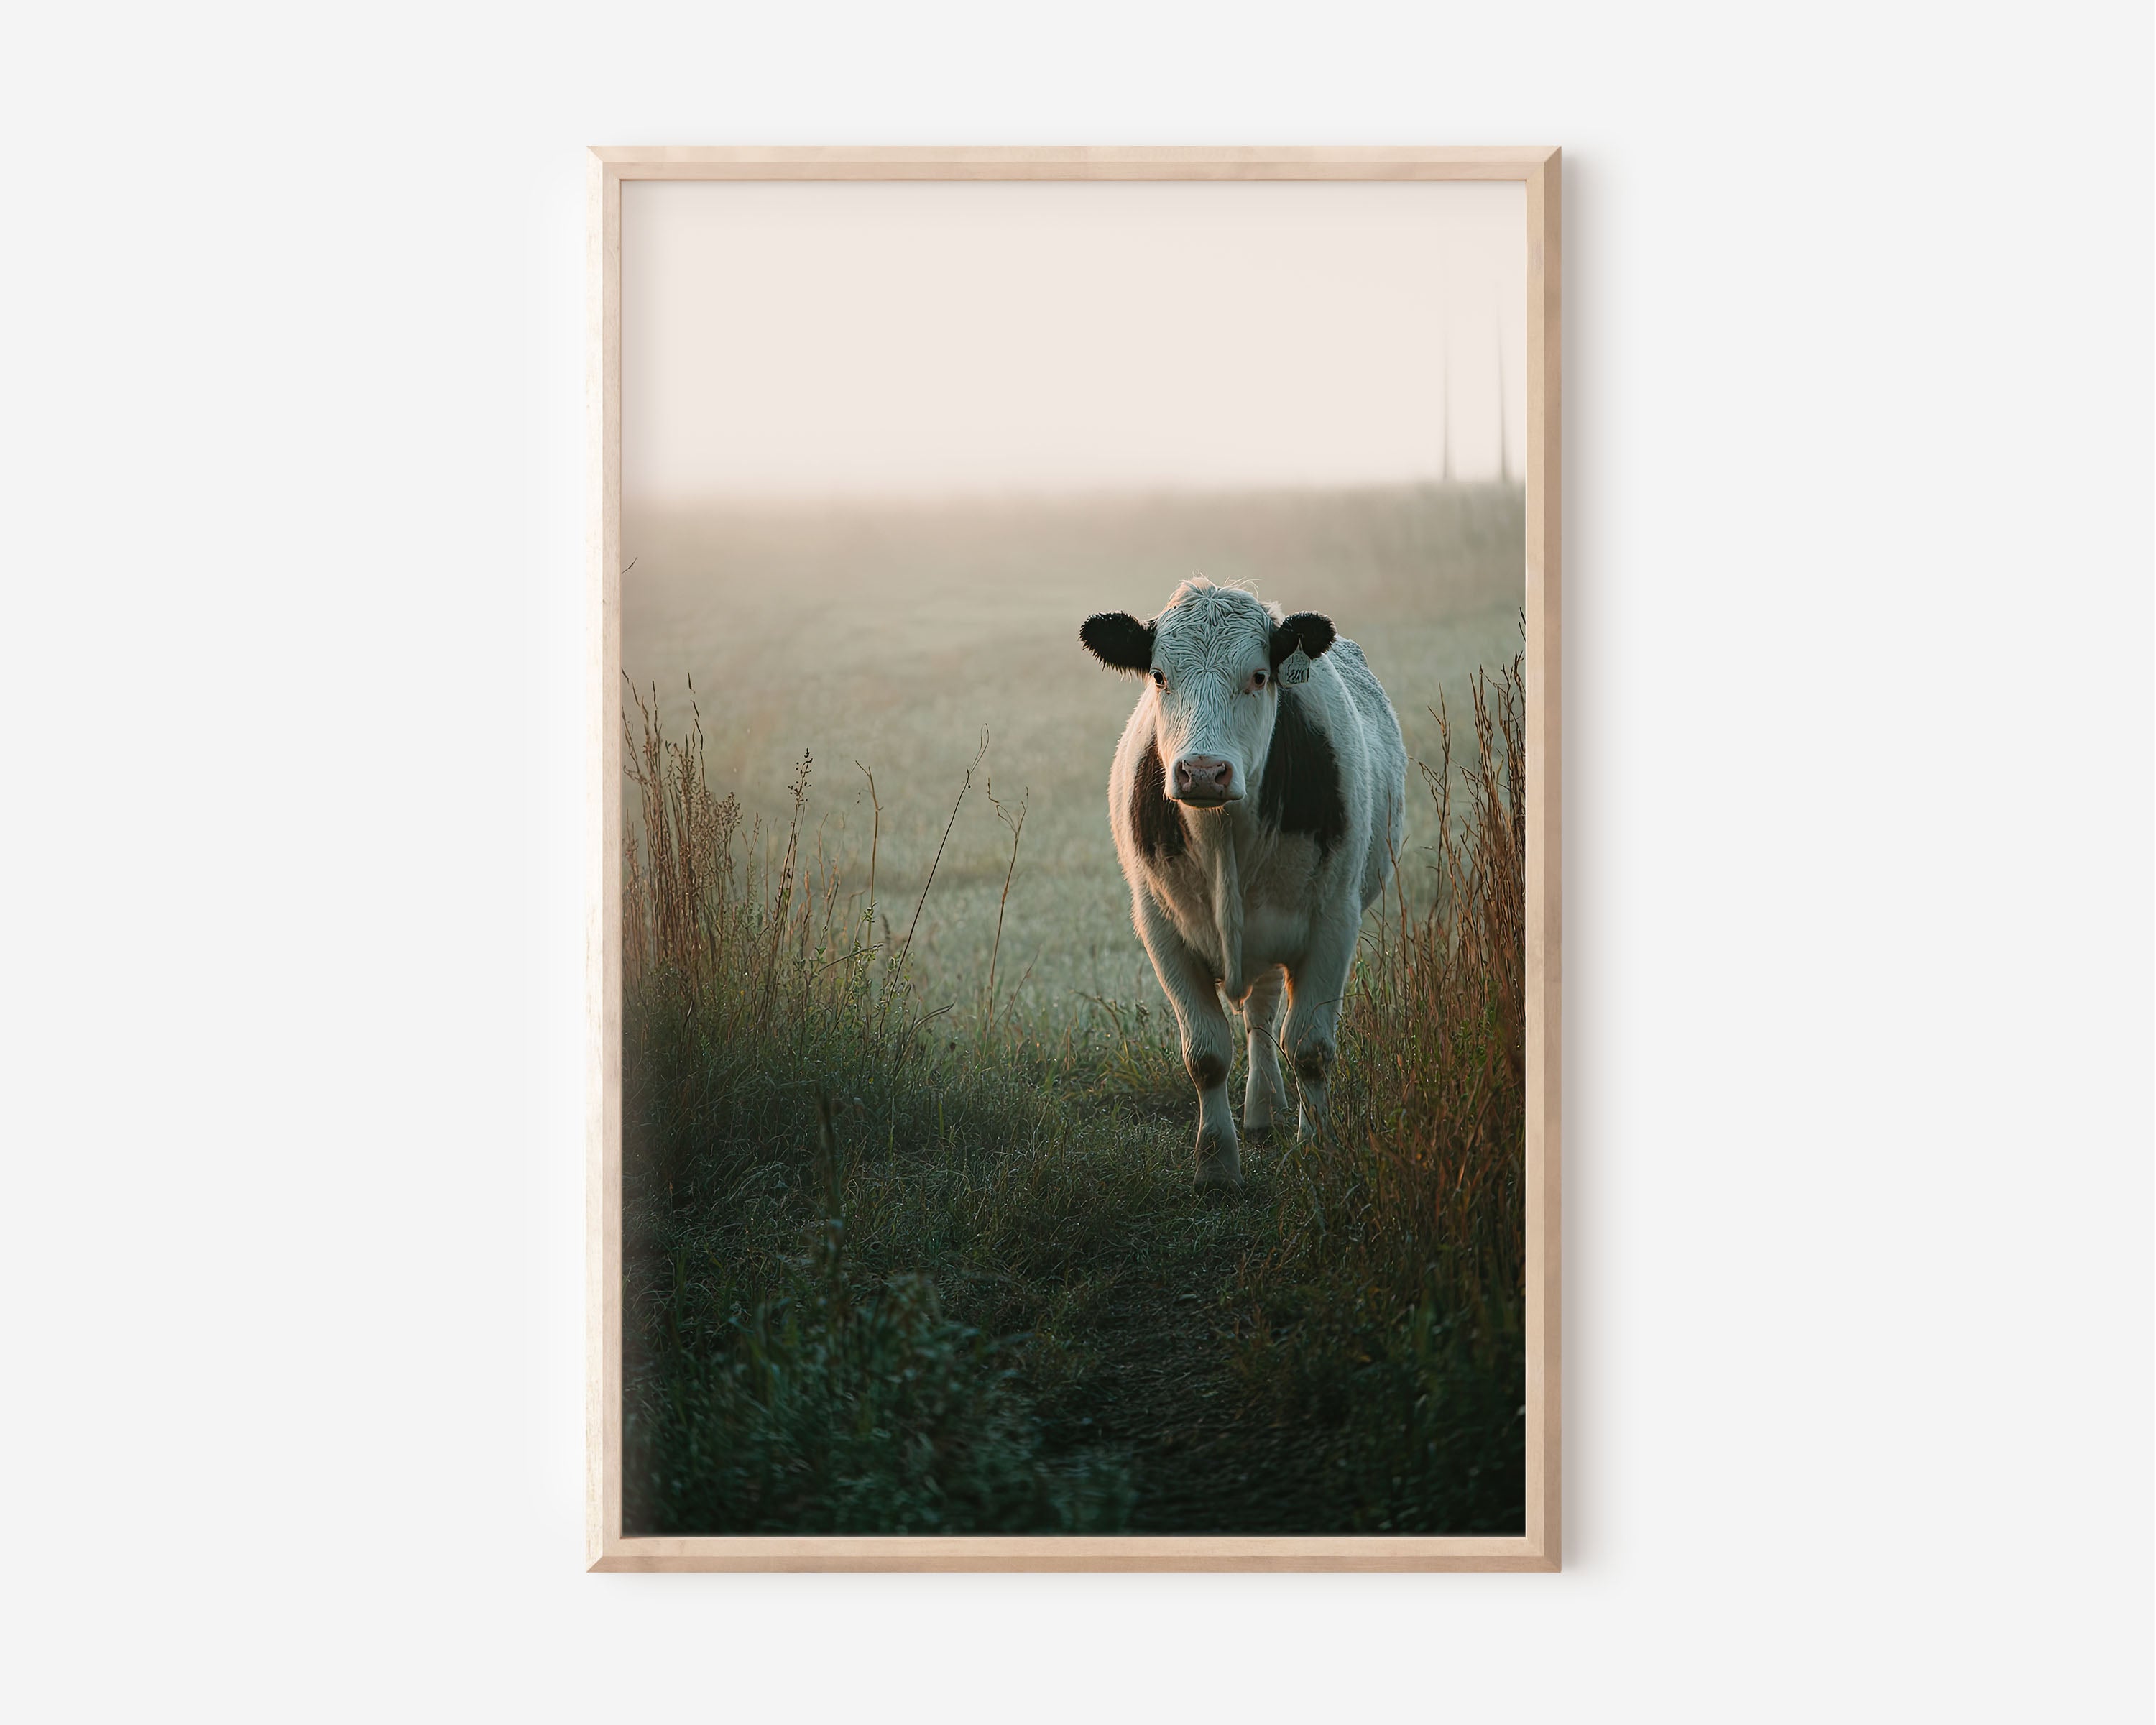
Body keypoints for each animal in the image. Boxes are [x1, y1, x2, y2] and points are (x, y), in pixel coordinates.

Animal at [1080, 578, 1407, 1188]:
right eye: (1159, 675)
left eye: (1258, 676)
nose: (1203, 772)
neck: (1224, 837)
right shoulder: (1161, 930)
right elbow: (1206, 1054)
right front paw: (1215, 1166)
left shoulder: (1333, 922)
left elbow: (1309, 1047)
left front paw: (1318, 1148)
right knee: (1258, 1014)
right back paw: (1261, 1113)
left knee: (1264, 1013)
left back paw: (1267, 1109)